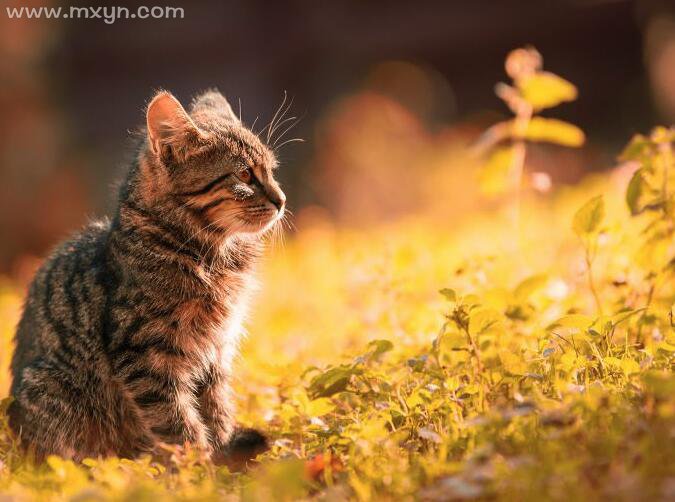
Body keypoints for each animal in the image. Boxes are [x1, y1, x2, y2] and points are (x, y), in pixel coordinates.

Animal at [6, 89, 286, 462]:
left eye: (271, 171)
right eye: (243, 176)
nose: (282, 200)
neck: (213, 256)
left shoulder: (215, 351)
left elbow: (217, 409)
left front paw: (224, 453)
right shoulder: (145, 356)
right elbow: (178, 422)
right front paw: (199, 467)